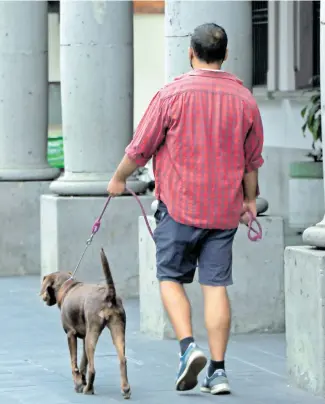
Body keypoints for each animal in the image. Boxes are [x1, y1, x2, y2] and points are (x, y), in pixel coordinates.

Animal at [40, 248, 130, 400]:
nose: (43, 297)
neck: (67, 288)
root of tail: (109, 295)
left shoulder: (71, 334)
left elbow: (74, 363)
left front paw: (78, 383)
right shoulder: (83, 337)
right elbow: (83, 362)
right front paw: (81, 381)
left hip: (92, 334)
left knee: (93, 369)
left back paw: (88, 389)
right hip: (117, 330)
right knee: (122, 360)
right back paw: (125, 389)